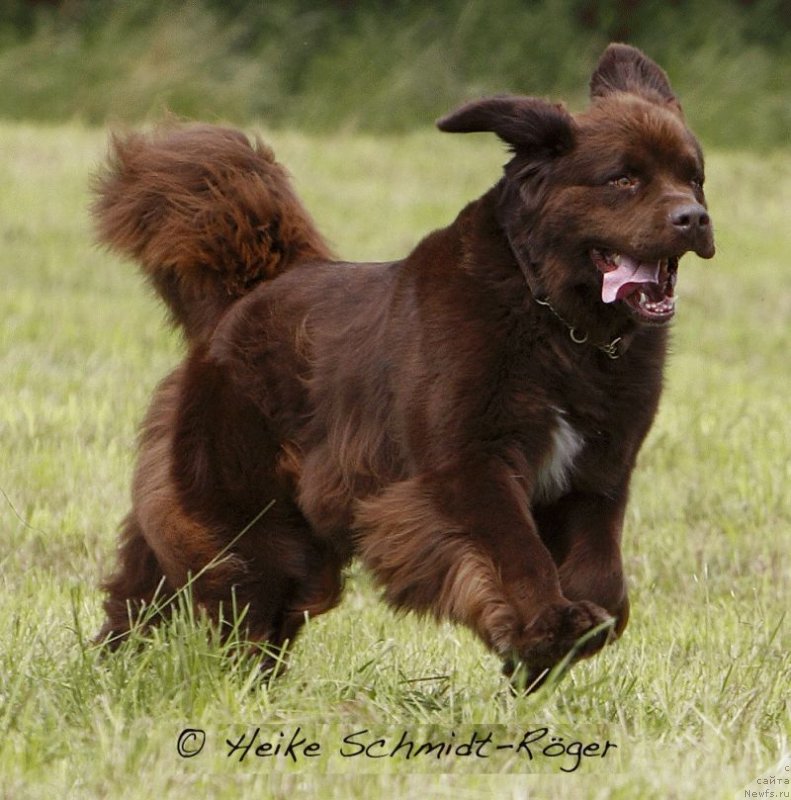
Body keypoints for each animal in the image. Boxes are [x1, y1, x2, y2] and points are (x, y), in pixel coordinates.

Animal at [96, 43, 716, 684]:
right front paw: (545, 629)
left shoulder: (599, 471)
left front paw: (555, 645)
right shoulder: (466, 462)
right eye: (622, 179)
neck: (557, 323)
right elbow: (514, 548)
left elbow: (604, 578)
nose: (694, 218)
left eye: (694, 177)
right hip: (244, 500)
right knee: (232, 583)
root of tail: (248, 296)